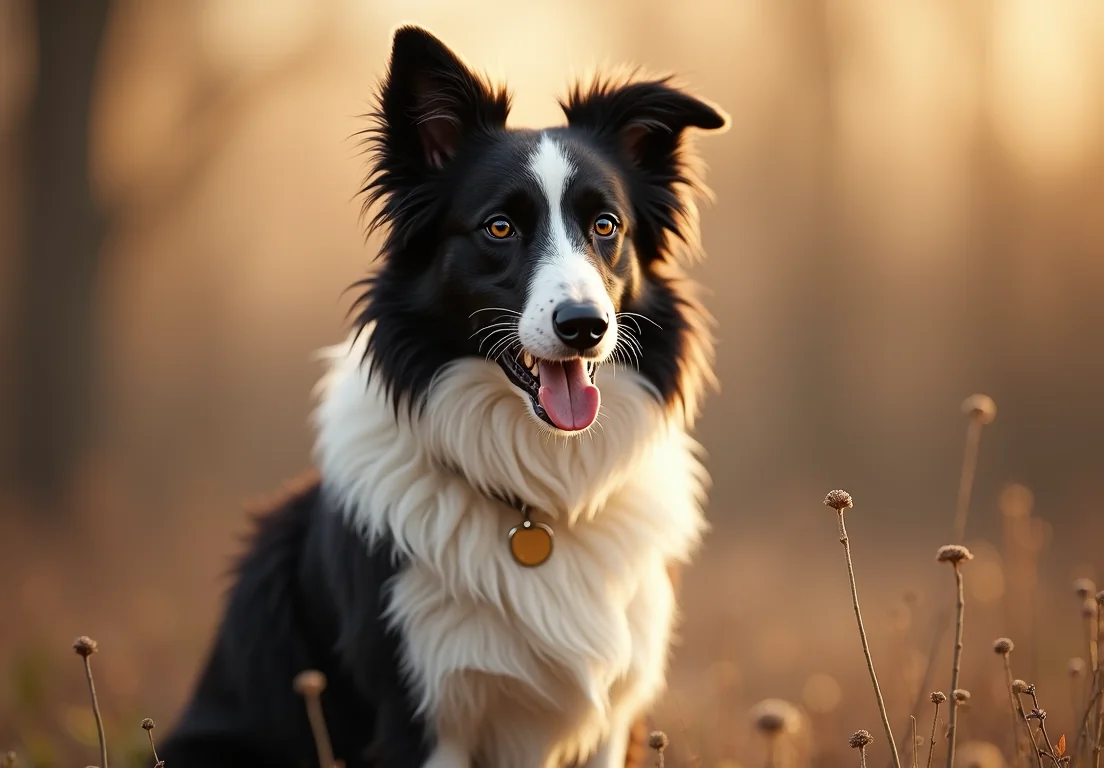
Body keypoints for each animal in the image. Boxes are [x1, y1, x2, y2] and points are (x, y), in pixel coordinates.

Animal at [161, 25, 724, 768]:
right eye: (498, 228)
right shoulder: (422, 716)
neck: (537, 501)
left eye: (606, 226)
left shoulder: (612, 720)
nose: (585, 326)